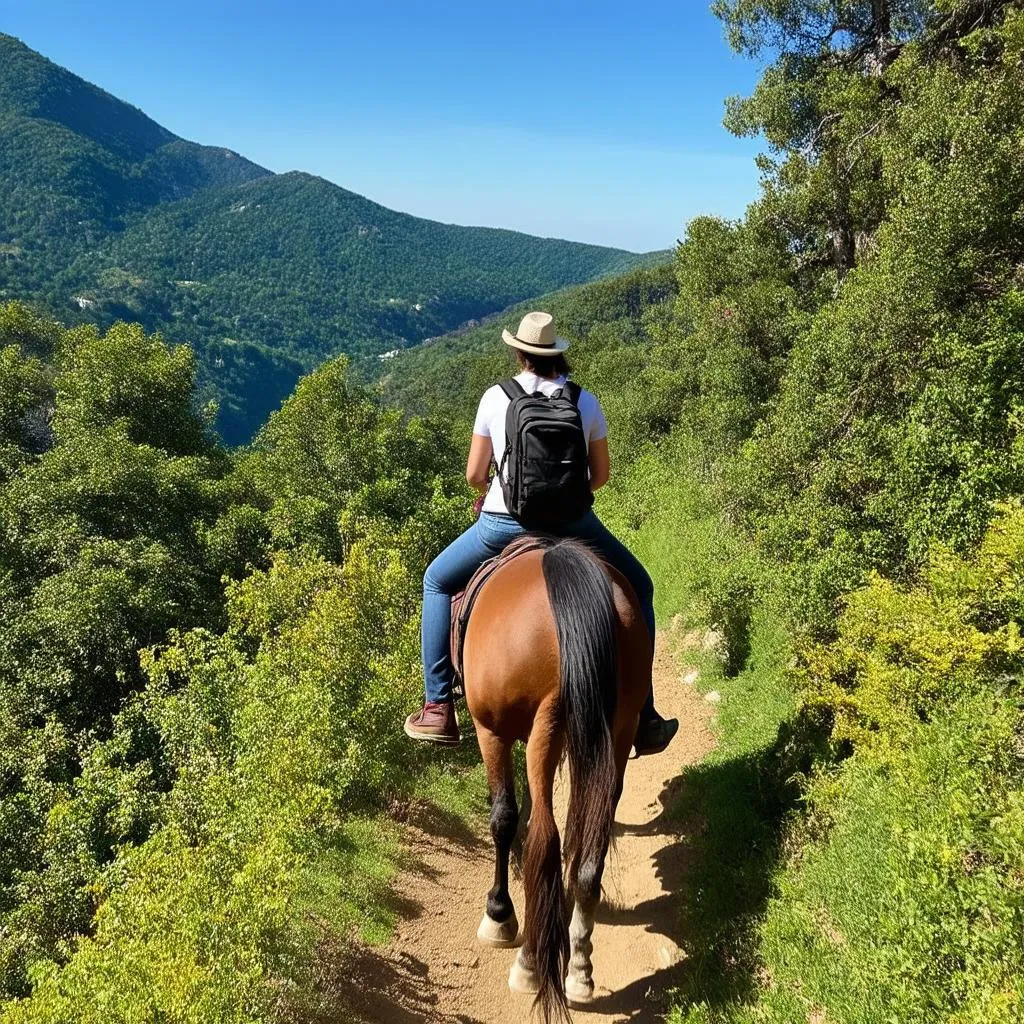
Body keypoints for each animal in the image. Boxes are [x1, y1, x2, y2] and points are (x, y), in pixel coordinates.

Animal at [462, 532, 651, 1019]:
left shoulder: (492, 731)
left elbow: (506, 819)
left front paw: (499, 914)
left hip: (543, 724)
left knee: (542, 834)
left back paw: (530, 963)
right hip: (614, 735)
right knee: (586, 855)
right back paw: (579, 967)